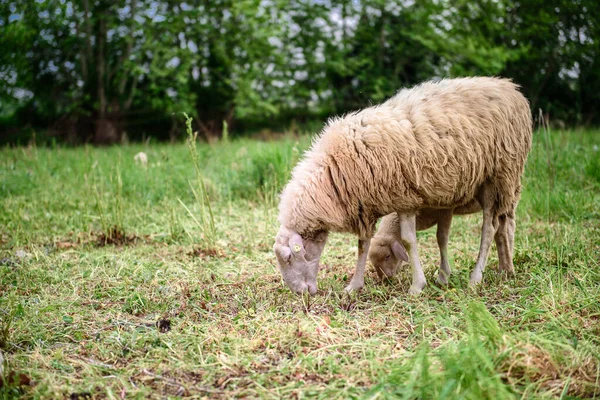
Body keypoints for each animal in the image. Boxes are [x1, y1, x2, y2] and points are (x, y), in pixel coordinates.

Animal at [368, 200, 516, 284]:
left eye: (387, 256)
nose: (384, 279)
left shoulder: (447, 209)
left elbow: (441, 237)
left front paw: (443, 277)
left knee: (507, 226)